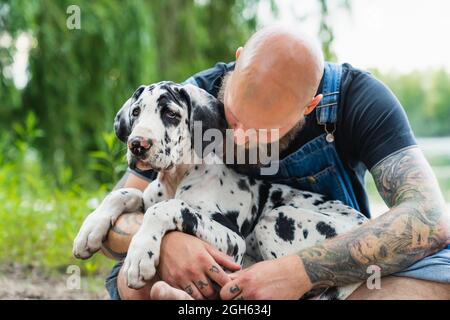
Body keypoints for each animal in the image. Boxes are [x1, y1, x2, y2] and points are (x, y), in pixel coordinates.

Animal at [73, 81, 370, 298]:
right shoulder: (146, 196)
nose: (137, 144)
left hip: (274, 219)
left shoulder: (232, 241)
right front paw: (90, 230)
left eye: (171, 114)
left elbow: (166, 208)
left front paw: (139, 253)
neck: (175, 179)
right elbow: (124, 194)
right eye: (136, 112)